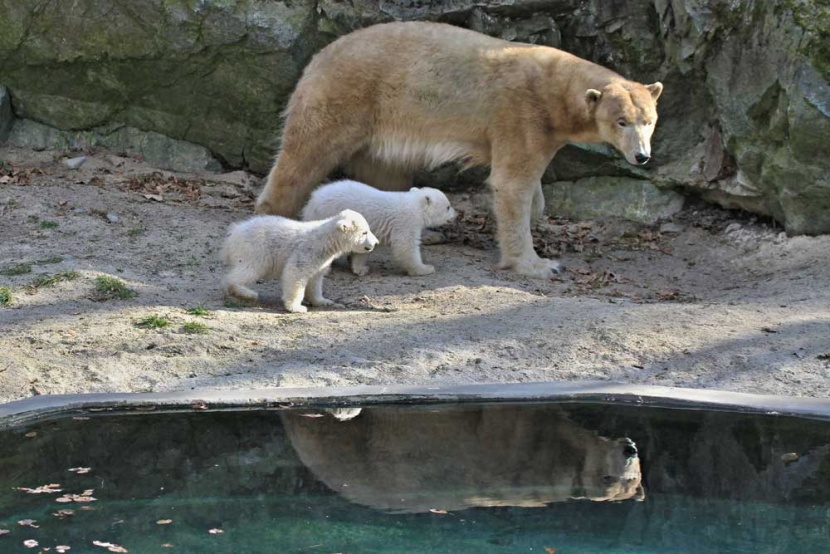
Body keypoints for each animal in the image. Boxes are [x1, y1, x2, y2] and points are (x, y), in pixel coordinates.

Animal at [219, 207, 378, 310]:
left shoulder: (321, 258)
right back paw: (247, 293)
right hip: (255, 249)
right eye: (365, 232)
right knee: (250, 270)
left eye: (368, 230)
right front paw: (296, 307)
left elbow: (315, 279)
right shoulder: (307, 250)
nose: (376, 242)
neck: (326, 240)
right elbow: (295, 274)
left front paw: (323, 301)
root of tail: (234, 233)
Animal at [300, 179, 458, 276]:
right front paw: (425, 268)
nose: (456, 215)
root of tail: (312, 200)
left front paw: (360, 268)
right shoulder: (405, 222)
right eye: (448, 207)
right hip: (326, 214)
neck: (414, 205)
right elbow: (405, 246)